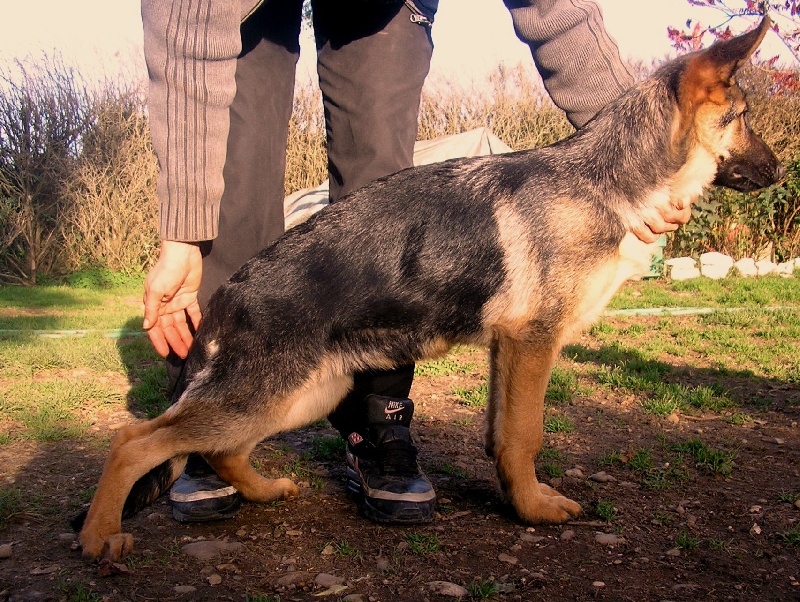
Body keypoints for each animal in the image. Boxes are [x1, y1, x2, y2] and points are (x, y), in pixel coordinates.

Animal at [79, 19, 780, 564]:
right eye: (743, 118)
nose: (778, 171)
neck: (607, 179)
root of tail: (229, 292)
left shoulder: (511, 349)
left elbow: (502, 434)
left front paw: (515, 498)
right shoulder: (534, 342)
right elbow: (525, 435)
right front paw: (535, 509)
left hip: (301, 393)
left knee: (220, 449)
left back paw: (263, 491)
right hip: (261, 394)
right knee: (135, 442)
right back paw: (99, 536)